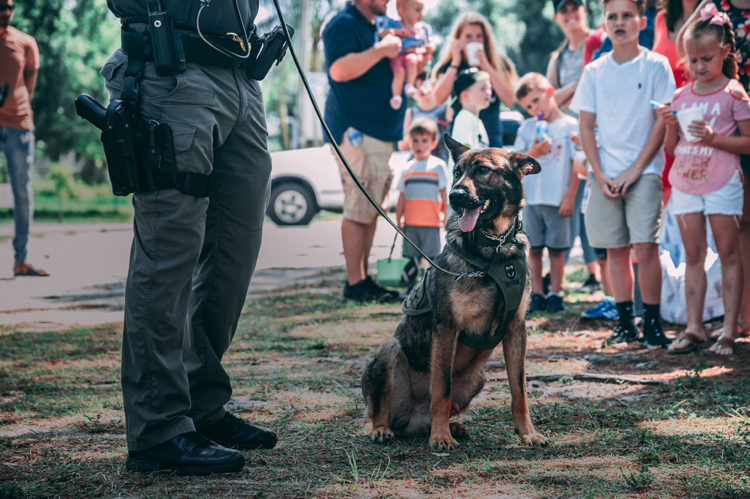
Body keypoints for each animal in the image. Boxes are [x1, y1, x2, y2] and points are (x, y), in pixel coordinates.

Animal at [362, 135, 548, 452]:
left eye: (483, 170)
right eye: (457, 172)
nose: (455, 196)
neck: (494, 249)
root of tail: (413, 419)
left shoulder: (515, 330)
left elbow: (519, 390)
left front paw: (527, 433)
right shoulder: (447, 329)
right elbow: (441, 389)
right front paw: (440, 437)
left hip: (478, 377)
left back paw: (452, 426)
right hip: (388, 350)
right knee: (381, 411)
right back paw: (387, 429)